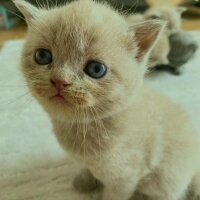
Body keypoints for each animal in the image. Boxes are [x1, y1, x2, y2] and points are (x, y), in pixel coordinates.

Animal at [13, 0, 200, 200]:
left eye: (96, 69)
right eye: (42, 56)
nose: (60, 80)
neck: (82, 128)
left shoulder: (125, 177)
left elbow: (114, 194)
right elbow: (85, 168)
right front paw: (84, 181)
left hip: (165, 180)